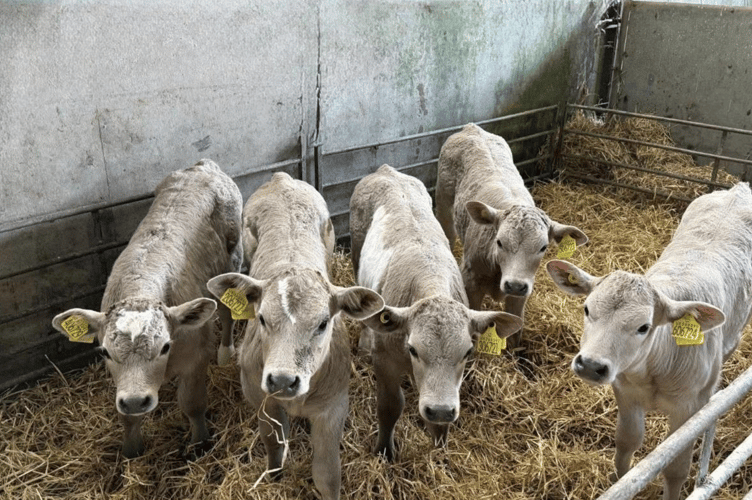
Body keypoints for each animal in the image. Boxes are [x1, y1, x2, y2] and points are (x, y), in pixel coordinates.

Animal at [51, 159, 243, 458]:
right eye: (104, 351)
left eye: (165, 347)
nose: (135, 401)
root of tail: (203, 166)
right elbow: (127, 419)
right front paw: (131, 452)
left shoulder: (196, 355)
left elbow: (192, 403)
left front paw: (199, 443)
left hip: (231, 259)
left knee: (226, 309)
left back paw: (225, 353)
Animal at [206, 172, 383, 500]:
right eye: (262, 318)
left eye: (324, 323)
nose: (282, 380)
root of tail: (282, 178)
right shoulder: (262, 400)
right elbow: (274, 447)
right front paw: (275, 476)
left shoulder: (333, 408)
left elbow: (327, 473)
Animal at [350, 164, 523, 461]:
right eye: (413, 349)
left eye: (468, 352)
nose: (440, 410)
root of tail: (387, 170)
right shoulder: (384, 359)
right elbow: (390, 406)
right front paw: (384, 452)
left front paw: (440, 447)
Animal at [435, 123, 588, 347]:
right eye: (499, 242)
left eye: (543, 247)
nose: (514, 285)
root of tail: (471, 127)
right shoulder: (471, 282)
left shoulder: (522, 292)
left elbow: (516, 331)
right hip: (444, 202)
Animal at [546, 182, 752, 500]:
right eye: (586, 309)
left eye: (643, 327)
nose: (590, 365)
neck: (654, 371)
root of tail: (739, 188)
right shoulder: (626, 392)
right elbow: (627, 444)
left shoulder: (688, 410)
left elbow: (675, 467)